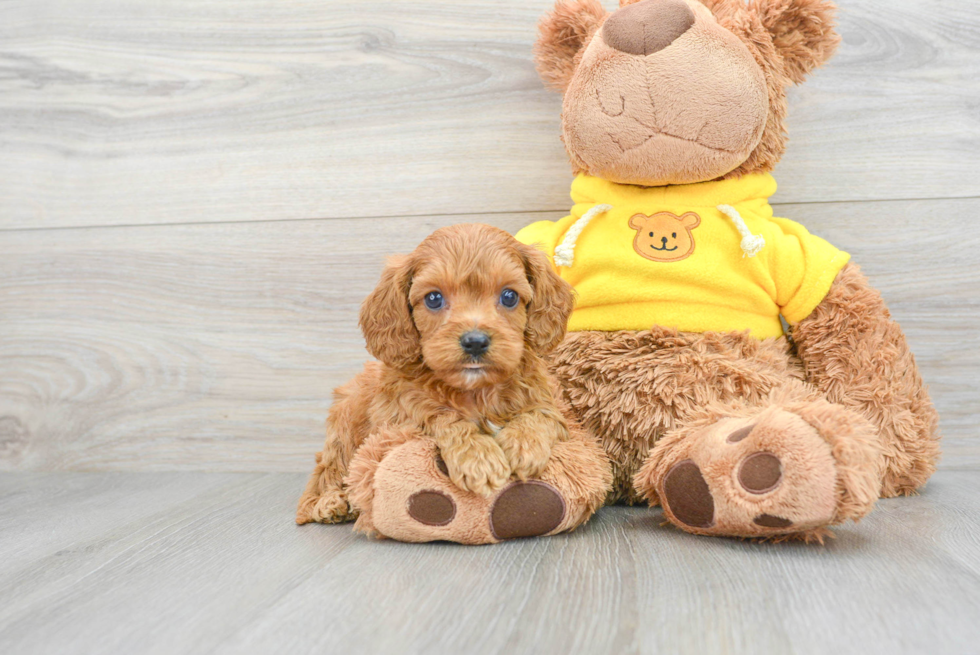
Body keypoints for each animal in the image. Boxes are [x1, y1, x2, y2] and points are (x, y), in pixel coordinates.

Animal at [294, 223, 604, 540]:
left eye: (509, 296)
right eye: (433, 298)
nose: (475, 341)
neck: (476, 391)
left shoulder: (546, 404)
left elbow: (539, 416)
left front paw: (522, 447)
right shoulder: (399, 416)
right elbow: (440, 416)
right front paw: (478, 458)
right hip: (344, 424)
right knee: (326, 468)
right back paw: (328, 502)